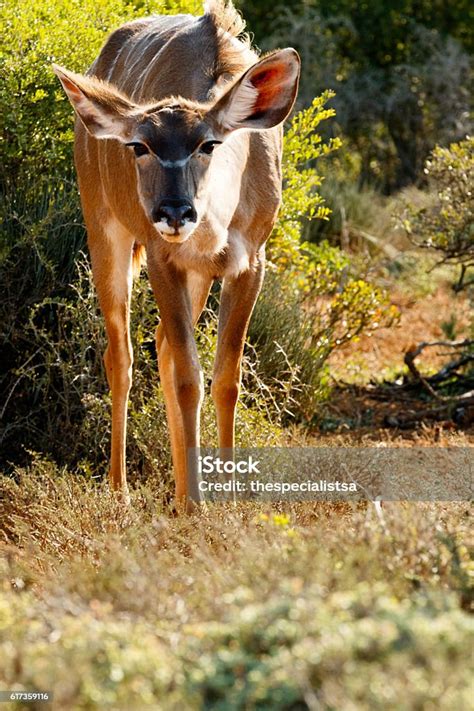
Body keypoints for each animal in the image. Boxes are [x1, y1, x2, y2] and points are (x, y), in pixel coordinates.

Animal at [54, 0, 300, 506]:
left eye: (208, 143)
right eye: (139, 146)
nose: (173, 212)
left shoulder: (250, 263)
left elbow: (226, 378)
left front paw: (226, 496)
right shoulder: (162, 258)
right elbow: (190, 378)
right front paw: (195, 504)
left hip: (198, 276)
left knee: (163, 347)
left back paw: (176, 482)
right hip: (105, 230)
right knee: (122, 355)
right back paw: (122, 490)